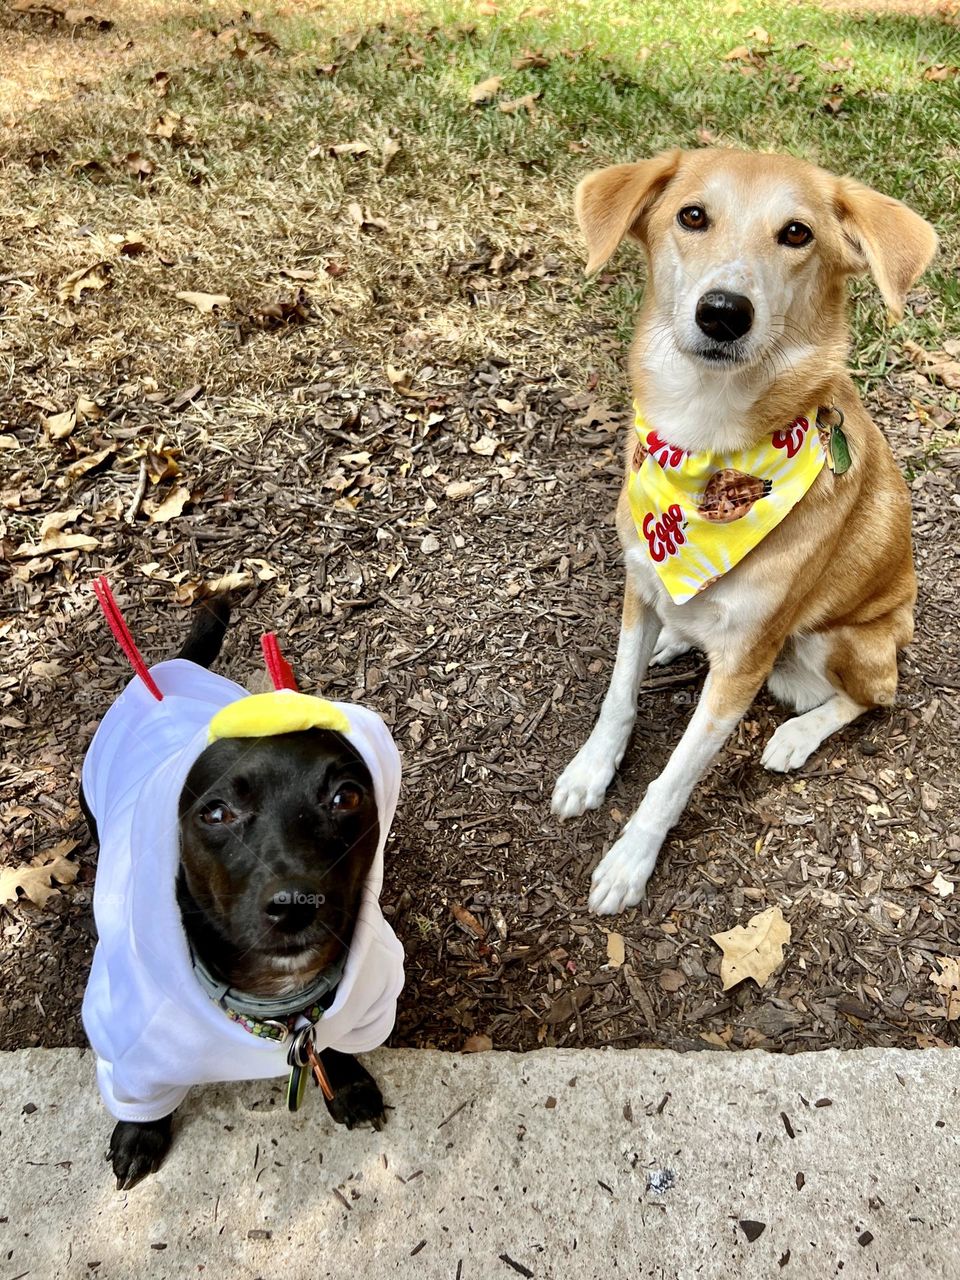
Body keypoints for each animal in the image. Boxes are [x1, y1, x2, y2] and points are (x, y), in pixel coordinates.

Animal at [81, 601, 399, 1187]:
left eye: (347, 797)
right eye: (215, 813)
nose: (294, 905)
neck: (276, 1006)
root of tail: (160, 679)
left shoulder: (358, 1005)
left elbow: (334, 1040)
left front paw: (346, 1081)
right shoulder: (129, 1050)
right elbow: (142, 1097)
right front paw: (140, 1133)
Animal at [555, 147, 942, 911]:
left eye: (797, 234)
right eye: (692, 216)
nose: (724, 313)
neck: (705, 441)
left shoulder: (745, 663)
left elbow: (675, 775)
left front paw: (630, 861)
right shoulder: (638, 585)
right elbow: (617, 697)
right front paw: (591, 770)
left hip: (840, 643)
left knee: (874, 696)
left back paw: (797, 735)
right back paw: (677, 639)